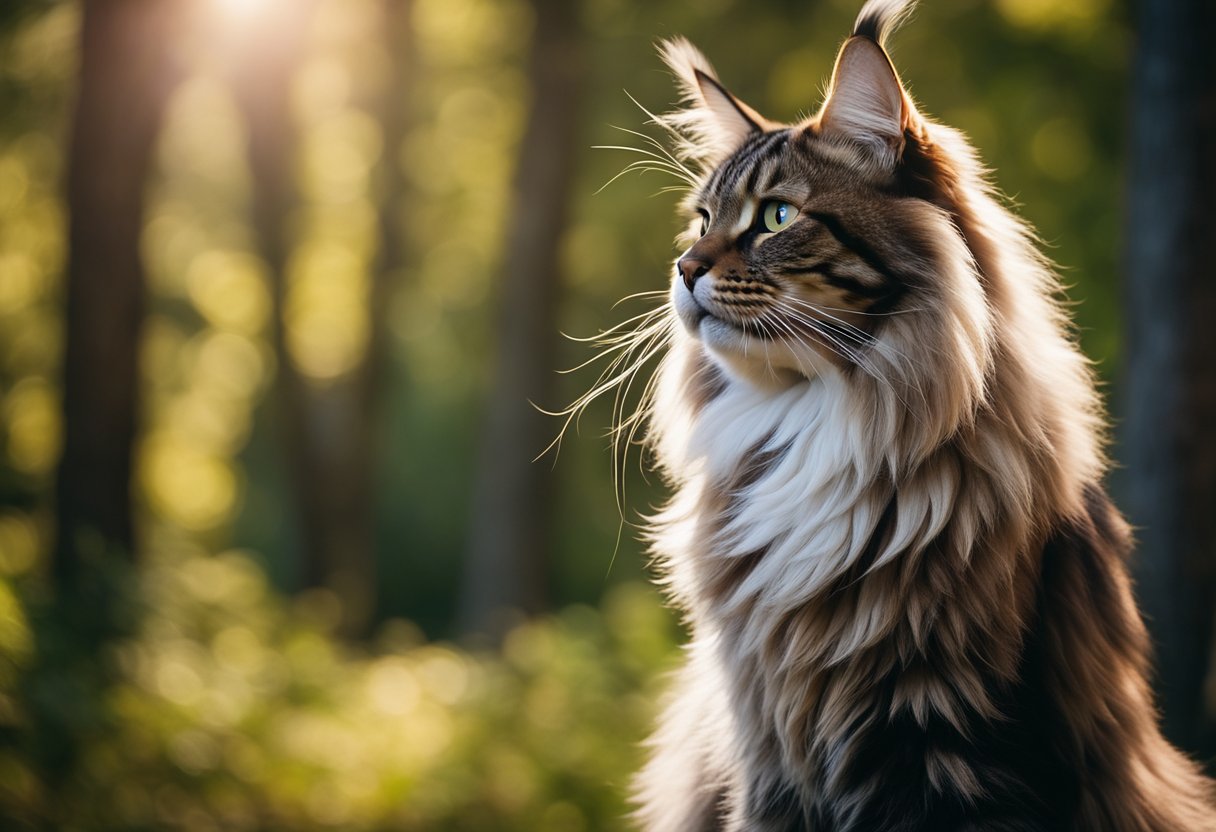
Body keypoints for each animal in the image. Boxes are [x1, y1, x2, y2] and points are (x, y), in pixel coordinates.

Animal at [569, 0, 1216, 827]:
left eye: (776, 217)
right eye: (702, 219)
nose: (682, 269)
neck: (816, 422)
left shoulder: (944, 747)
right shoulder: (764, 754)